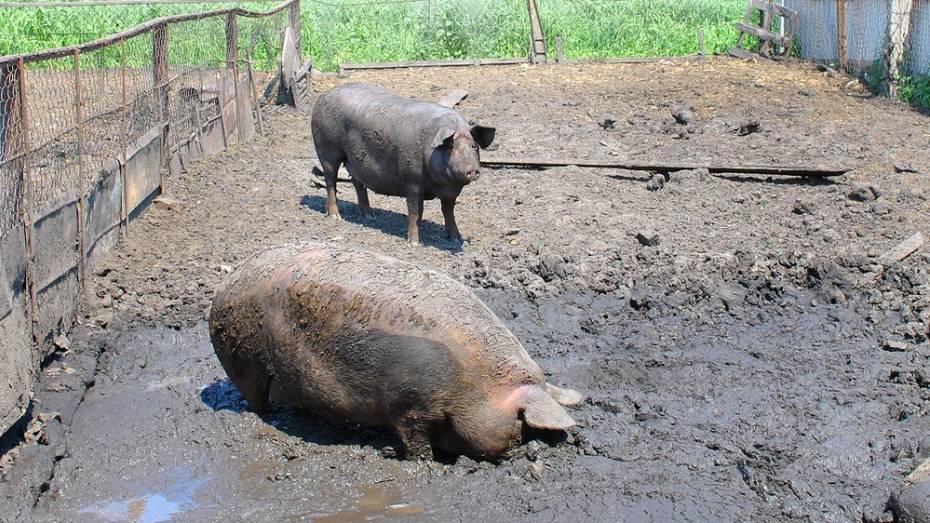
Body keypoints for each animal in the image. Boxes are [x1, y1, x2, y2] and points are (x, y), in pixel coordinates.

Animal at [208, 241, 580, 458]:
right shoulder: (410, 403)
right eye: (518, 422)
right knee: (254, 397)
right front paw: (421, 461)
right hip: (242, 357)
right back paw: (267, 419)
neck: (473, 380)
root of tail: (224, 285)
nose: (520, 452)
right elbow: (415, 441)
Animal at [310, 83, 496, 245]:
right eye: (451, 147)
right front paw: (414, 243)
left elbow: (448, 211)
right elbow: (415, 212)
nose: (472, 170)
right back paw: (335, 216)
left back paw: (371, 215)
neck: (443, 185)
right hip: (327, 149)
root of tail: (323, 96)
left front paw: (457, 239)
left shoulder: (451, 192)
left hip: (355, 160)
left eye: (474, 146)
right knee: (330, 181)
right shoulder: (412, 181)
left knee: (358, 183)